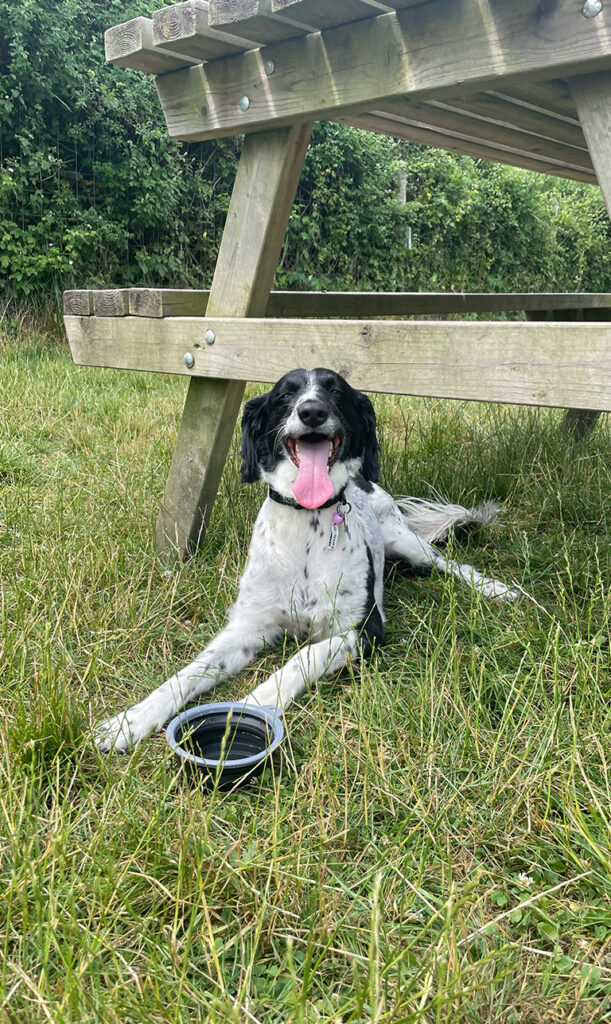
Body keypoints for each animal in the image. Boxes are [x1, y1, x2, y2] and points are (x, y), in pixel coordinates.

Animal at [96, 368, 513, 753]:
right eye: (285, 394)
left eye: (336, 390)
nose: (311, 411)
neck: (305, 529)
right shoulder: (246, 628)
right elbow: (190, 672)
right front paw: (131, 720)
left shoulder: (363, 629)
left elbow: (301, 658)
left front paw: (250, 708)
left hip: (407, 543)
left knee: (453, 565)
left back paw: (496, 589)